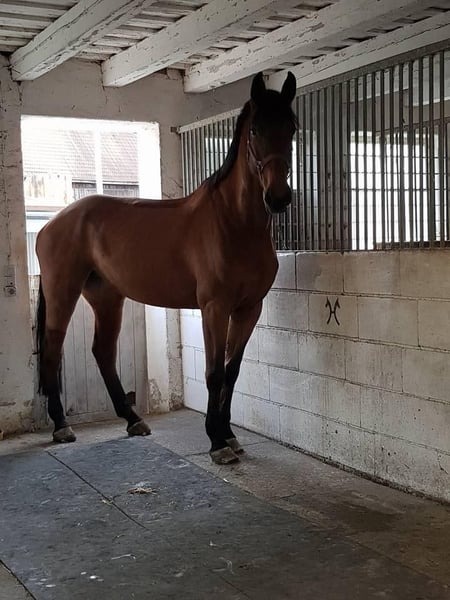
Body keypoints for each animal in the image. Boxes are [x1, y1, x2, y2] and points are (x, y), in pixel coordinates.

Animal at [35, 71, 297, 464]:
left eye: (293, 127)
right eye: (255, 130)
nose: (278, 198)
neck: (234, 224)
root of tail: (51, 223)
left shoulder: (249, 309)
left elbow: (233, 371)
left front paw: (229, 434)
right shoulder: (214, 308)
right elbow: (214, 373)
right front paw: (216, 442)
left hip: (107, 298)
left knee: (103, 352)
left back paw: (132, 419)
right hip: (62, 293)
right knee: (53, 350)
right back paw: (61, 427)